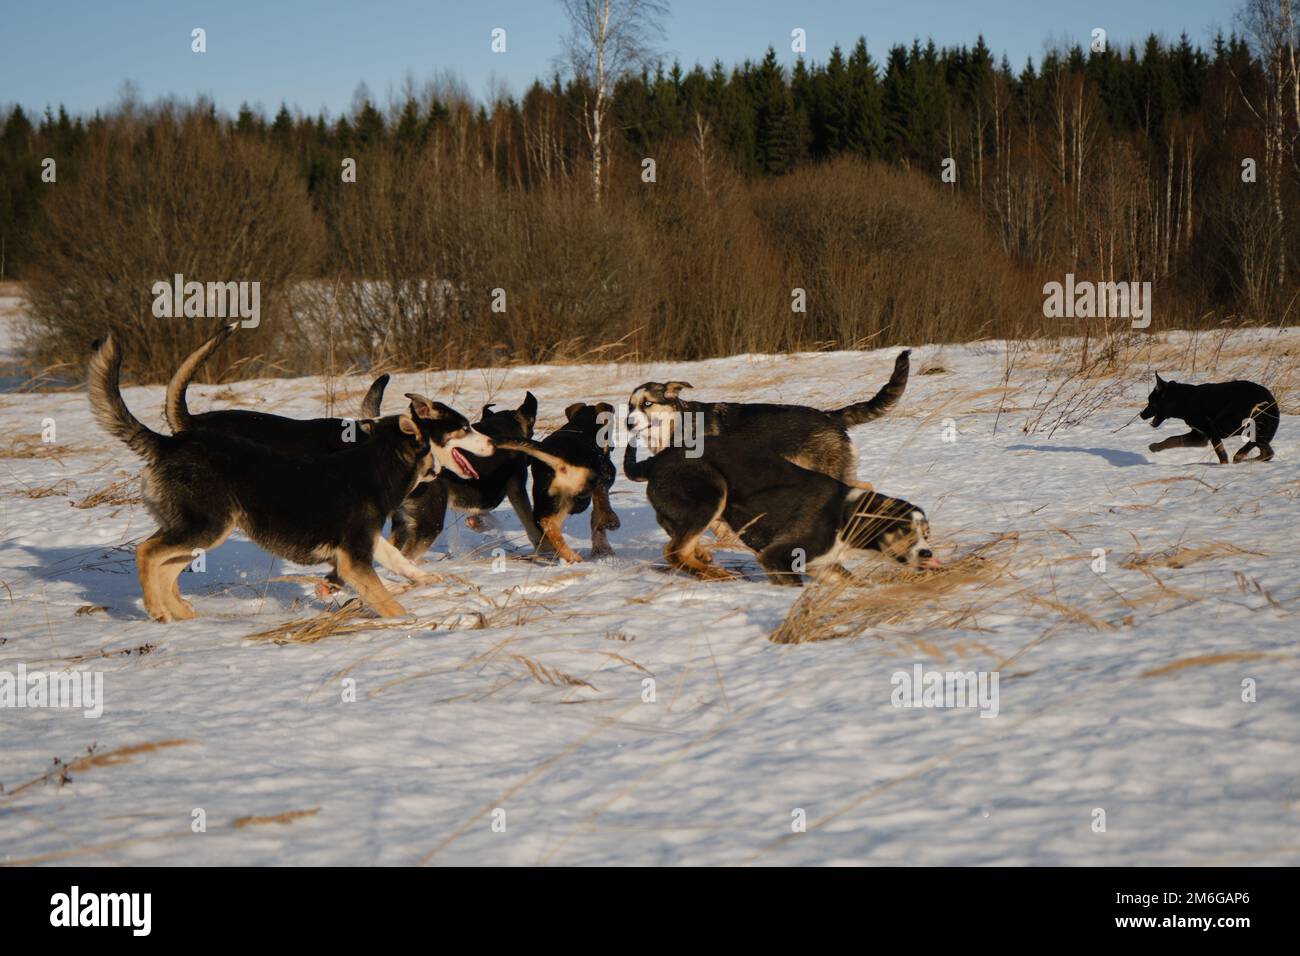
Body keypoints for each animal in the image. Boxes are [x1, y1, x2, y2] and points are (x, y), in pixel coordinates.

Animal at [89, 335, 488, 621]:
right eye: (465, 427)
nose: (491, 442)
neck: (378, 459)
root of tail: (169, 442)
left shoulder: (366, 542)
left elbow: (397, 560)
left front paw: (421, 581)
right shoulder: (354, 557)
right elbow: (384, 597)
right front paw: (407, 621)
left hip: (202, 529)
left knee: (165, 565)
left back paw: (180, 614)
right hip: (207, 525)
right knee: (147, 552)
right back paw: (158, 609)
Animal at [493, 403, 621, 561]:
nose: (613, 446)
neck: (580, 426)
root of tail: (555, 455)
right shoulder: (604, 475)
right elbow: (601, 505)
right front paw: (608, 525)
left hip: (550, 498)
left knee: (547, 522)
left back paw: (569, 556)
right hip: (573, 494)